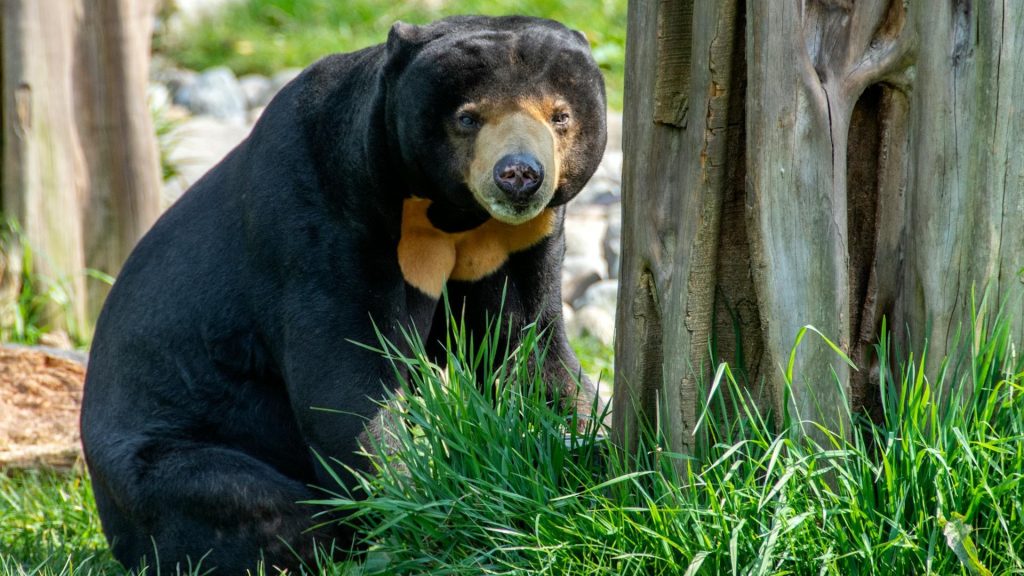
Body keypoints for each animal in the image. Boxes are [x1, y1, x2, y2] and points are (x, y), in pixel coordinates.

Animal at [80, 15, 607, 574]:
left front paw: (586, 448)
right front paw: (423, 501)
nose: (519, 175)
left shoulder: (512, 246)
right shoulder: (321, 221)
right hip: (161, 459)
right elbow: (345, 384)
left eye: (560, 116)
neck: (447, 215)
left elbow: (528, 351)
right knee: (251, 504)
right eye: (468, 118)